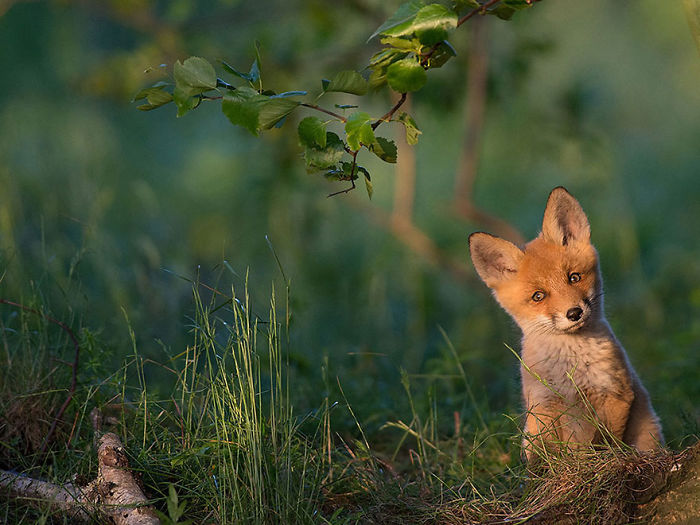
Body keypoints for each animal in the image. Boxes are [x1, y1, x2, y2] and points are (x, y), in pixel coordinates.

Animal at [468, 187, 663, 461]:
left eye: (574, 277)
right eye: (538, 296)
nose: (574, 313)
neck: (571, 369)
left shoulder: (616, 394)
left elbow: (605, 442)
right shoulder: (543, 404)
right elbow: (549, 454)